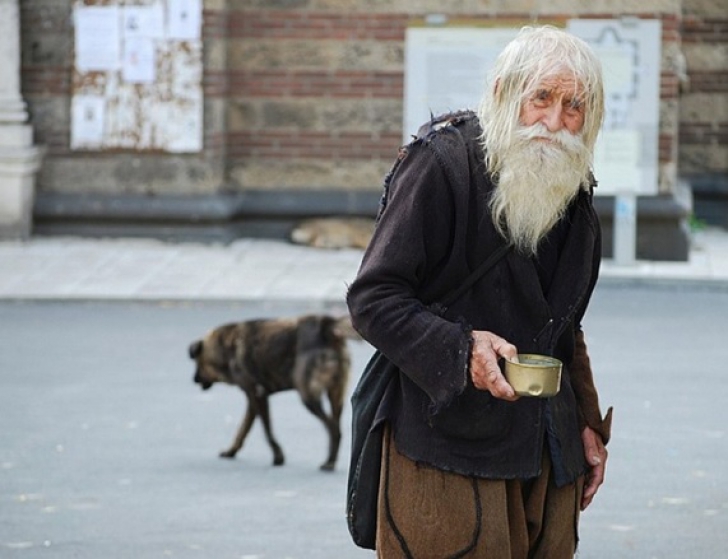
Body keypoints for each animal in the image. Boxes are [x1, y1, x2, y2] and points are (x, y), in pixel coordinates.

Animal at [188, 316, 356, 472]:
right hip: (336, 397)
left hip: (308, 396)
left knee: (334, 429)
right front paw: (231, 451)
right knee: (337, 425)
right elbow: (243, 429)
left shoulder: (258, 395)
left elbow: (267, 431)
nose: (193, 380)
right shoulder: (252, 401)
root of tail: (325, 324)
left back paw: (329, 462)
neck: (225, 347)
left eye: (197, 363)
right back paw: (332, 460)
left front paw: (278, 456)